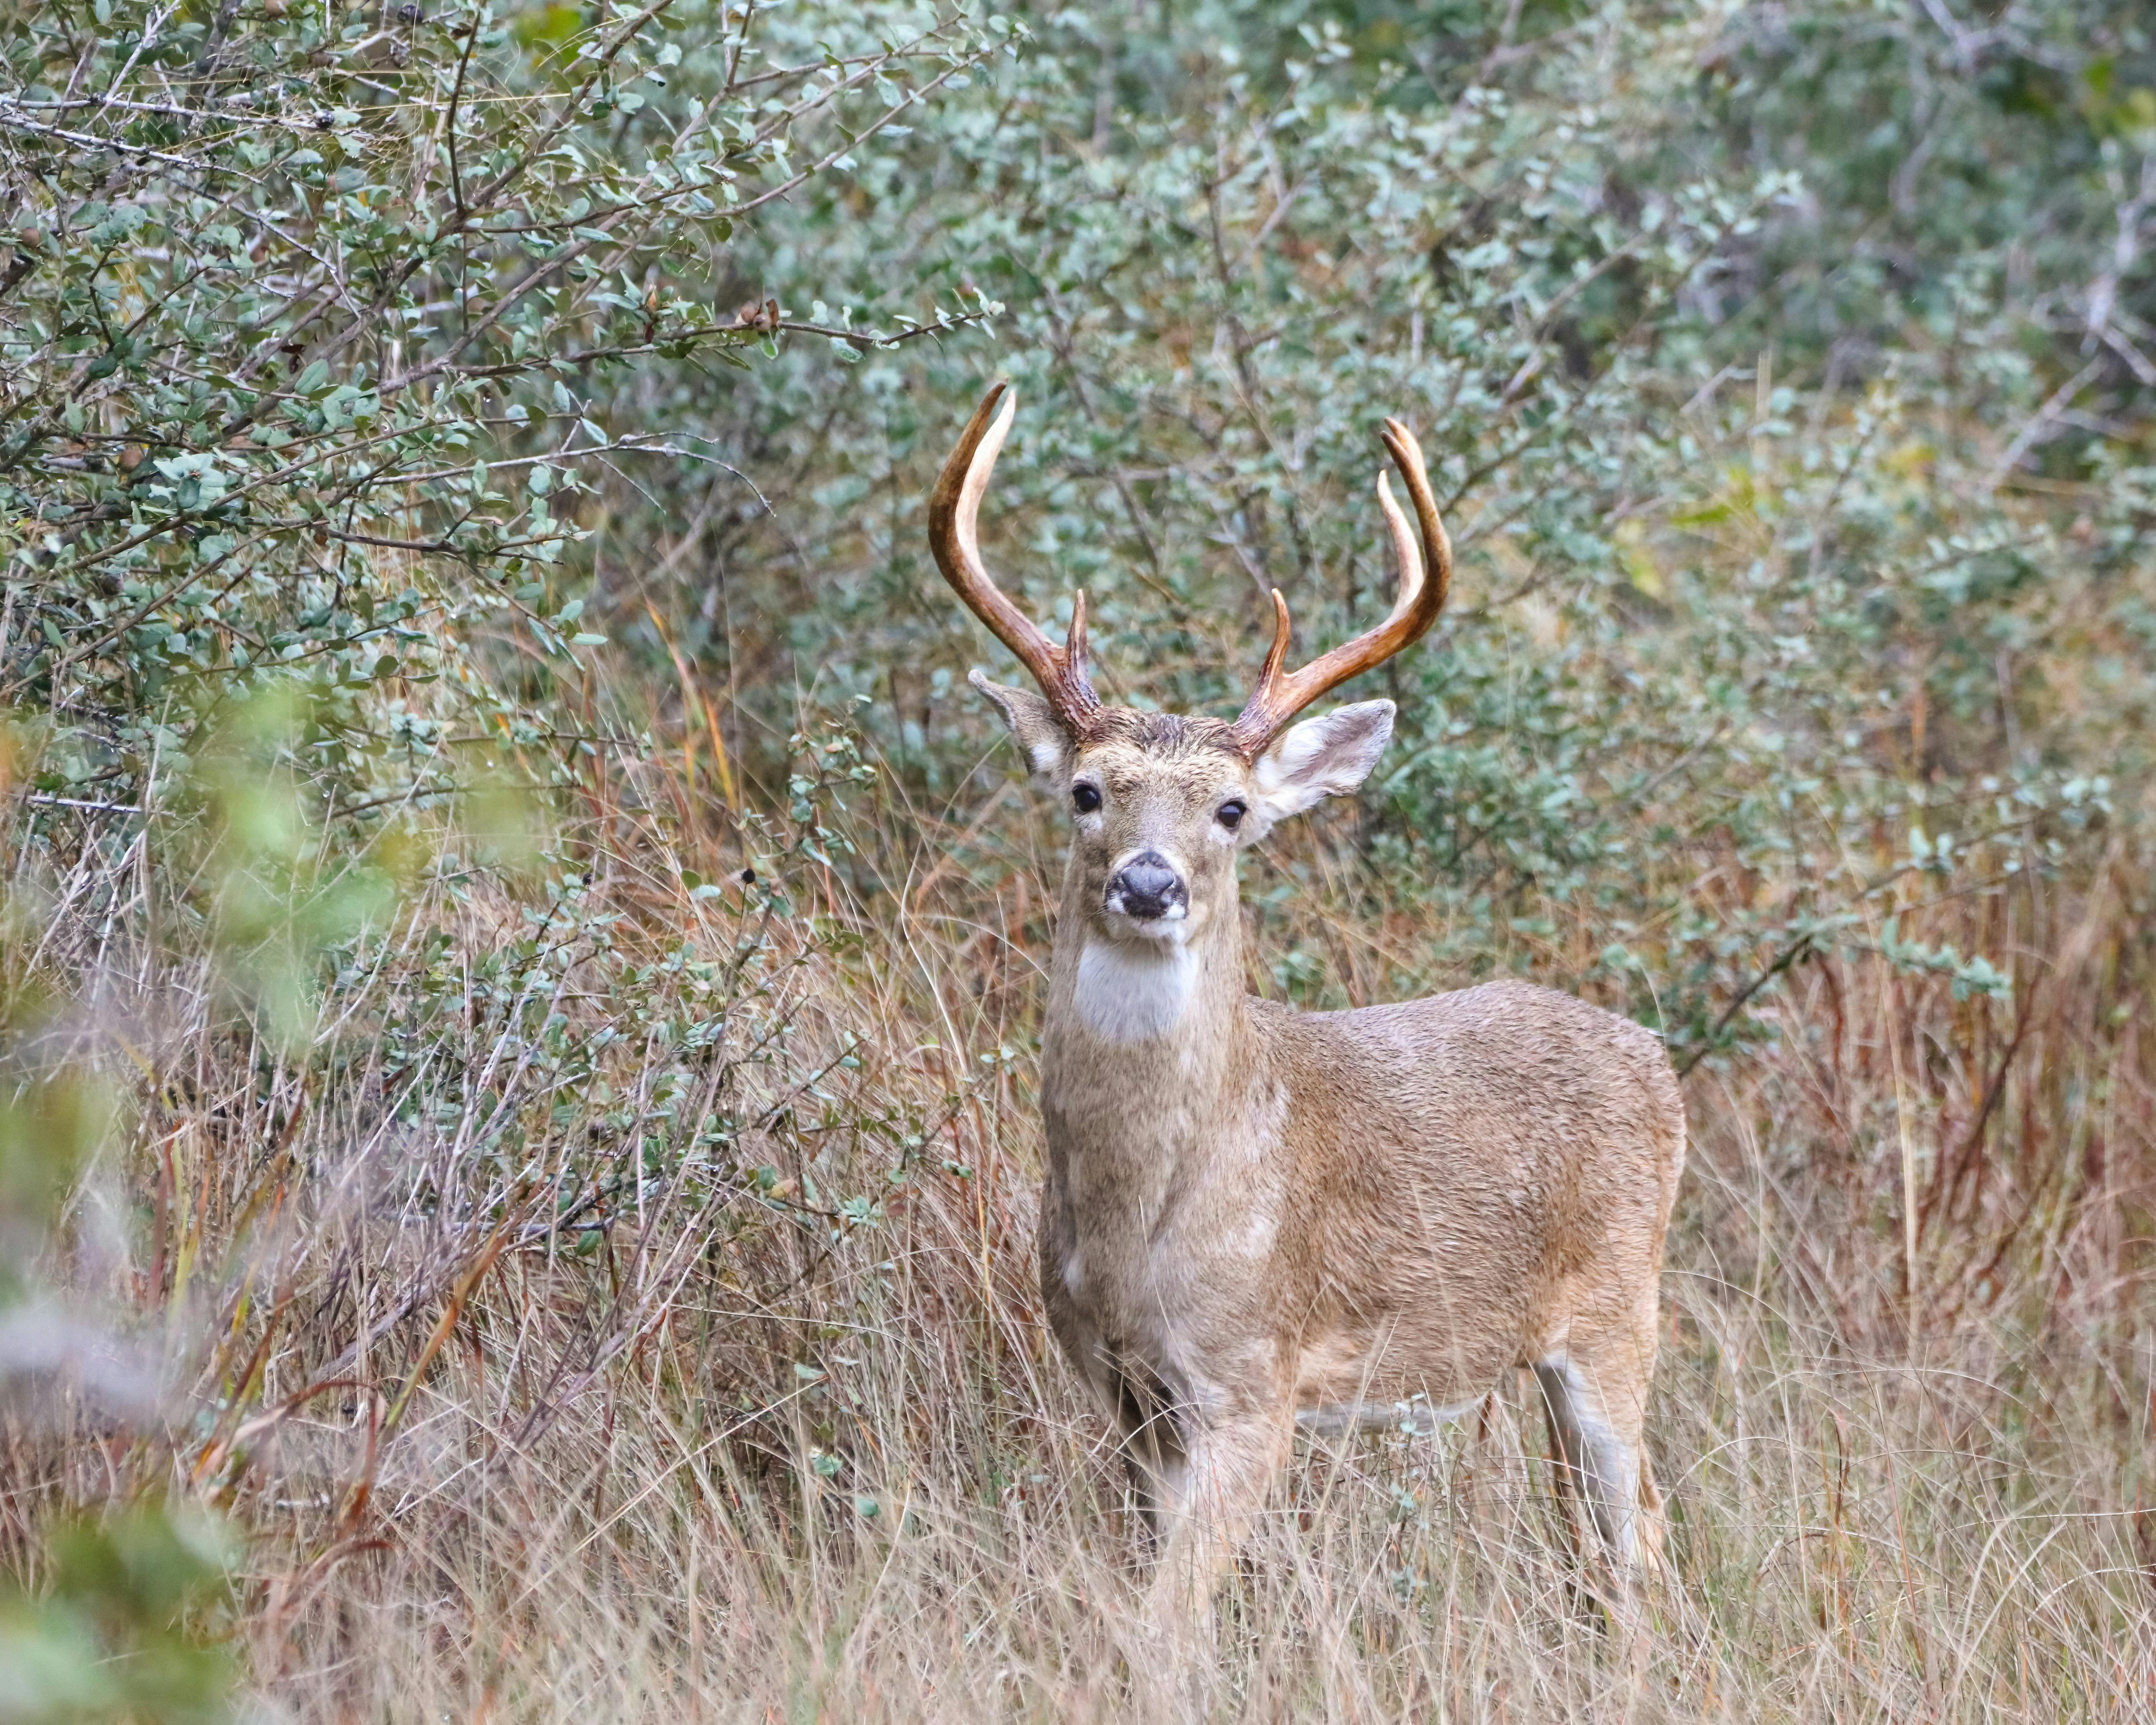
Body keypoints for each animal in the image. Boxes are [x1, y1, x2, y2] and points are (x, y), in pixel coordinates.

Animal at [927, 381, 1686, 1648]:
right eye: (1086, 791)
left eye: (1232, 808)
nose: (1147, 883)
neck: (1141, 1221)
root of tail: (1659, 1060)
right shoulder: (1122, 1393)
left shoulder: (1254, 1378)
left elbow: (1161, 1631)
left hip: (1619, 1311)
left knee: (1644, 1543)